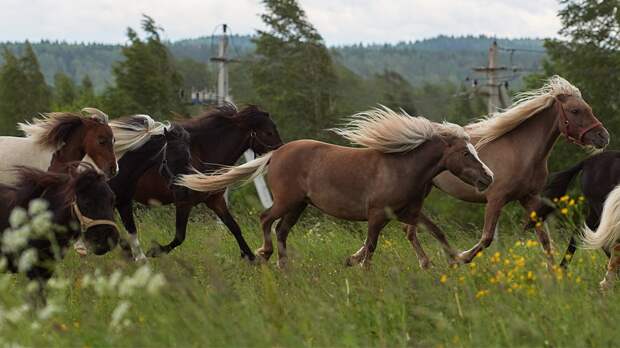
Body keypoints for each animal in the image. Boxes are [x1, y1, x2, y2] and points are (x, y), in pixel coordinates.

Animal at [131, 104, 284, 260]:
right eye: (269, 132)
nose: (281, 152)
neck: (201, 155)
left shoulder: (215, 200)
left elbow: (234, 227)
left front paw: (252, 259)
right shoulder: (183, 202)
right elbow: (179, 237)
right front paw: (154, 251)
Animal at [178, 107, 494, 268]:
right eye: (466, 154)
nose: (488, 178)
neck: (401, 167)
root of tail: (275, 154)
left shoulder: (408, 213)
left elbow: (435, 232)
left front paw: (457, 259)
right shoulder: (377, 215)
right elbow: (371, 246)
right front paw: (363, 271)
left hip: (300, 206)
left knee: (281, 230)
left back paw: (283, 265)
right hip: (288, 201)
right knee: (266, 219)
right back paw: (265, 254)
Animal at [406, 75, 612, 266]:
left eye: (588, 108)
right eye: (575, 110)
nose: (603, 137)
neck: (519, 151)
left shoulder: (529, 198)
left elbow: (545, 241)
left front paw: (555, 274)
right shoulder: (495, 199)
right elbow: (487, 238)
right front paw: (461, 257)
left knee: (410, 228)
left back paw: (426, 263)